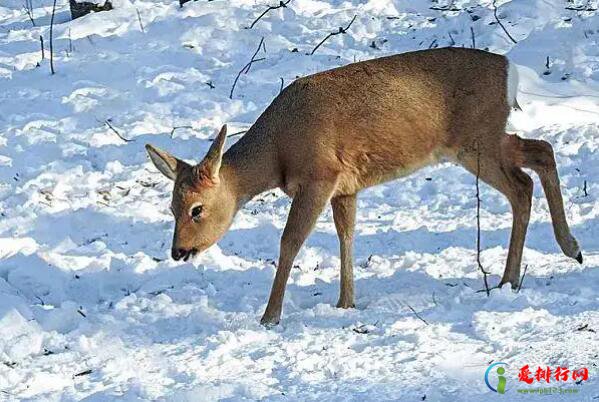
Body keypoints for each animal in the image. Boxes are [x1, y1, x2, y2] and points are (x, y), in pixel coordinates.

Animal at [148, 47, 584, 326]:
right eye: (171, 207)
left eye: (197, 209)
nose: (178, 250)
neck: (279, 151)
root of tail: (510, 70)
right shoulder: (346, 186)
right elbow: (347, 235)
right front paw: (346, 301)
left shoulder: (320, 175)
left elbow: (290, 241)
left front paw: (270, 316)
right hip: (487, 139)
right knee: (540, 152)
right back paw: (561, 252)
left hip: (476, 142)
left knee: (522, 183)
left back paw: (522, 272)